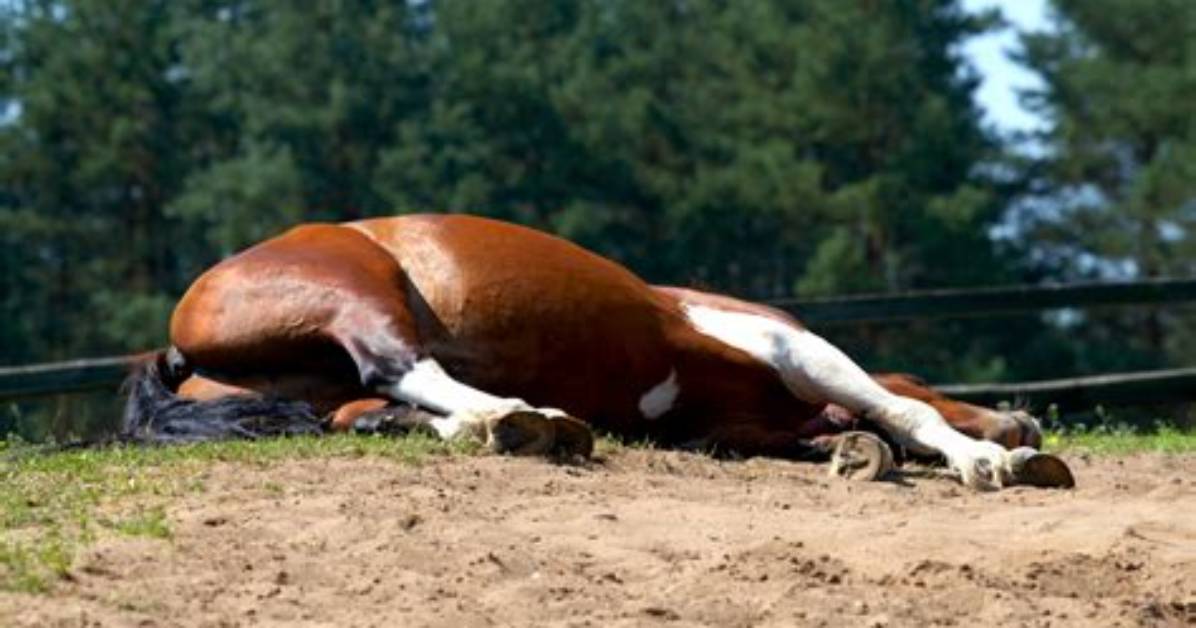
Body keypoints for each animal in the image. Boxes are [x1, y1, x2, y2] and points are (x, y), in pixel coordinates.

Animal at [123, 214, 1073, 490]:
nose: (1025, 421)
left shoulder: (732, 424)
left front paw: (853, 451)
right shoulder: (789, 343)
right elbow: (901, 404)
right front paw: (987, 457)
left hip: (322, 392)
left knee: (385, 410)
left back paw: (512, 427)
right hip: (355, 291)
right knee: (399, 366)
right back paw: (524, 415)